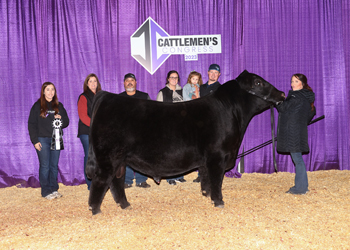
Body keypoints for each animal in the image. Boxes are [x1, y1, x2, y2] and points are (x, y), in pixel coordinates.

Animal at [86, 70, 286, 215]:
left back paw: (125, 205)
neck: (231, 112)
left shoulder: (207, 159)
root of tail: (106, 96)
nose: (282, 94)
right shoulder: (218, 156)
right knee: (101, 180)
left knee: (116, 181)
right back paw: (95, 210)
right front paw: (219, 201)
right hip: (107, 158)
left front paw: (207, 195)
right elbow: (216, 180)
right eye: (258, 83)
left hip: (120, 159)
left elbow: (205, 178)